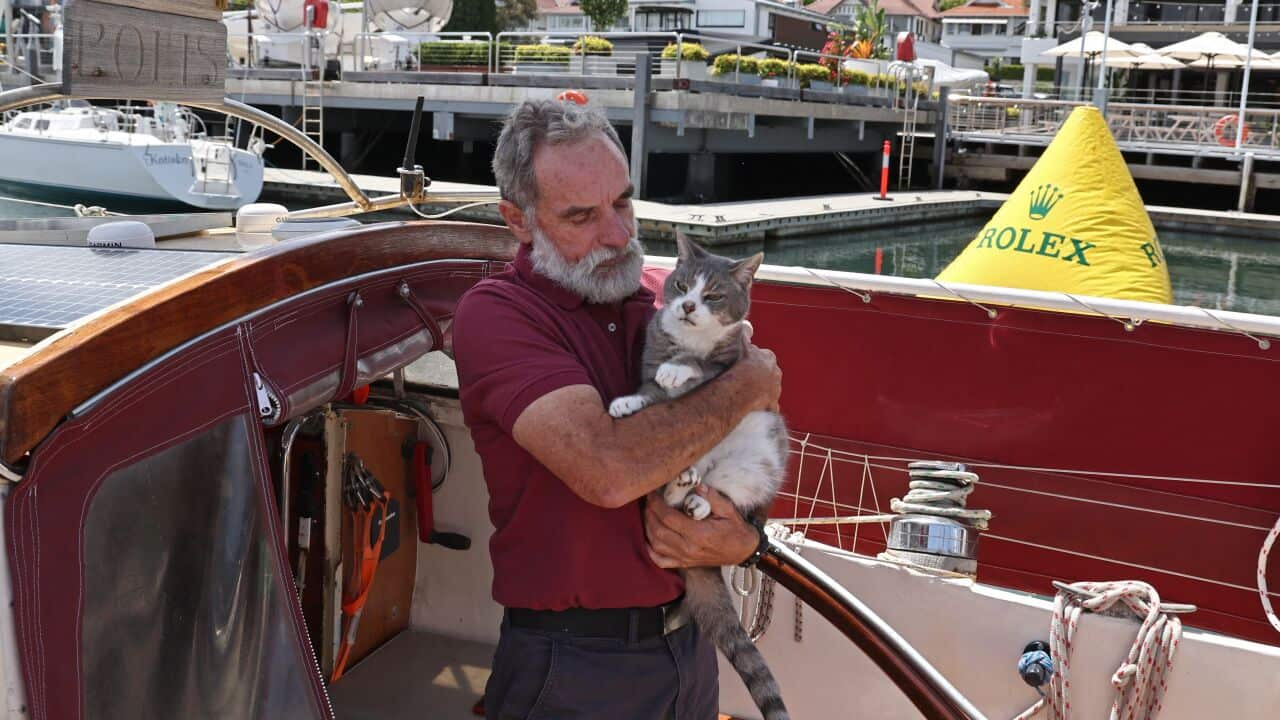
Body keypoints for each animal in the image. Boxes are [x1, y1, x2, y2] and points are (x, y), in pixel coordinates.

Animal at [606, 233, 788, 712]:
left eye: (713, 296)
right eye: (683, 284)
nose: (687, 305)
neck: (690, 339)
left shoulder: (732, 361)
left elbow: (700, 367)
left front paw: (680, 370)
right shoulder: (651, 355)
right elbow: (651, 390)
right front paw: (628, 401)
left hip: (760, 457)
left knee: (728, 493)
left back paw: (698, 501)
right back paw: (681, 488)